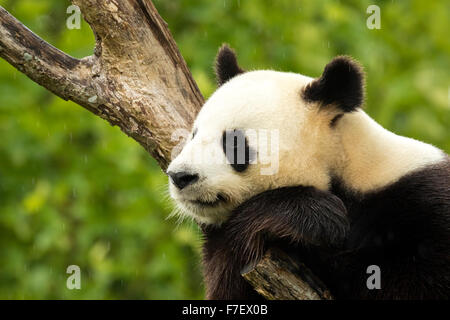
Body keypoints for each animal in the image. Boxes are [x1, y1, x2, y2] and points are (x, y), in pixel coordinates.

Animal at [166, 45, 450, 300]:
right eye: (194, 134)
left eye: (234, 144)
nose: (180, 176)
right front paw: (317, 216)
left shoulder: (423, 201)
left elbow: (403, 281)